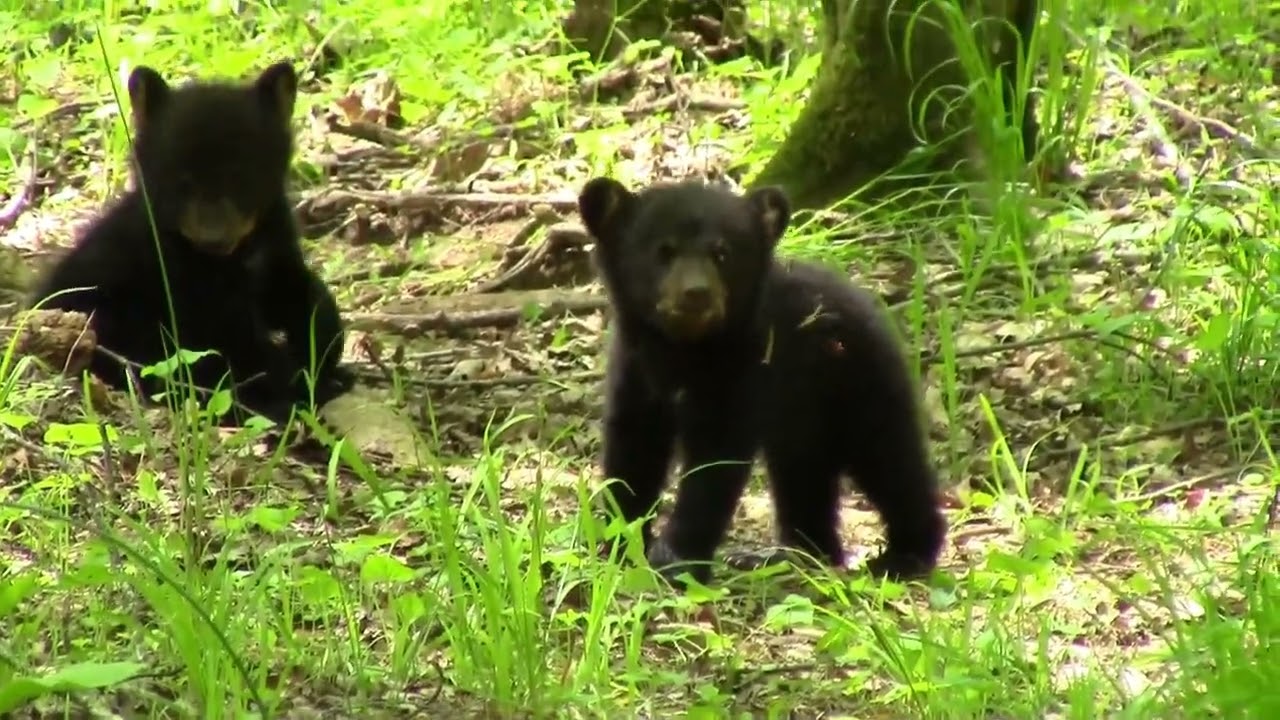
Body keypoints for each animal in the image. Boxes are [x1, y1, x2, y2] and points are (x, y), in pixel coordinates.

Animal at [29, 60, 352, 425]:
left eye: (241, 176)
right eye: (181, 180)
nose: (214, 237)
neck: (232, 259)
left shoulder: (276, 250)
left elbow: (305, 296)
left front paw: (323, 354)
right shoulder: (181, 285)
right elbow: (232, 341)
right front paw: (294, 387)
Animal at [577, 176, 947, 586]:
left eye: (722, 253)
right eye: (663, 251)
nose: (696, 293)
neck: (682, 352)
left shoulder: (742, 371)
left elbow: (714, 462)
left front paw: (678, 559)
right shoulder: (635, 372)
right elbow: (632, 451)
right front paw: (620, 541)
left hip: (859, 381)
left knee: (889, 458)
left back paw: (904, 555)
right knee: (804, 472)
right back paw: (794, 553)